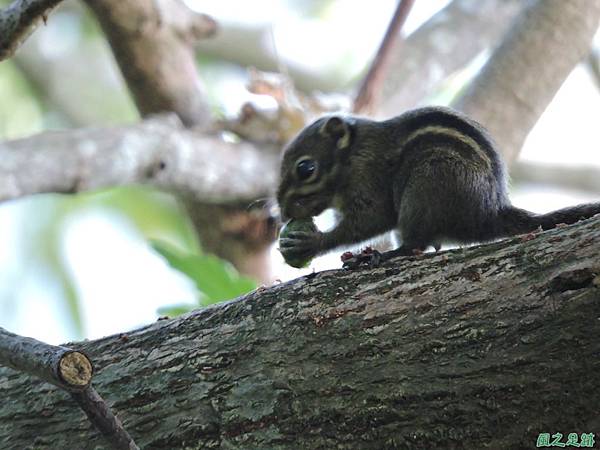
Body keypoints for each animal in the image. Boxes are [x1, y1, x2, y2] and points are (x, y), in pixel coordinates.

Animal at [276, 105, 600, 268]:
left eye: (306, 169)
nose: (282, 212)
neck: (351, 155)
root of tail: (490, 212)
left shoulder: (369, 179)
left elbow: (373, 219)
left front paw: (312, 242)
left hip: (429, 181)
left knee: (416, 244)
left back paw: (380, 256)